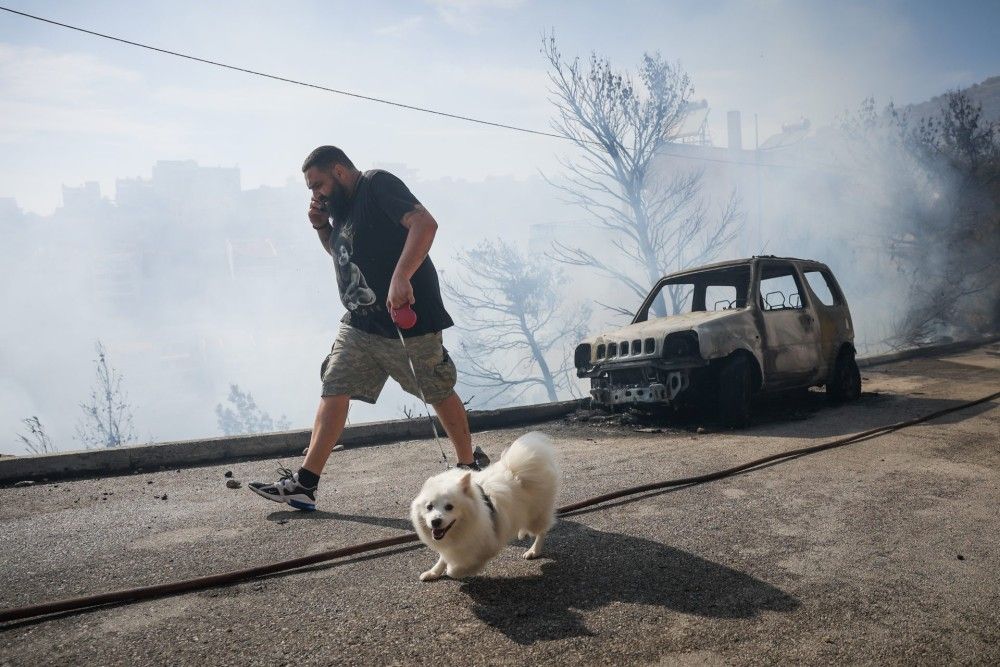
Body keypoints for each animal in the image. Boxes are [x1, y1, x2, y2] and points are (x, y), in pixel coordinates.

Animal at [410, 434, 560, 580]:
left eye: (449, 507)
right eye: (429, 507)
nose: (435, 522)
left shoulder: (486, 548)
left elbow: (455, 570)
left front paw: (458, 571)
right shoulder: (452, 545)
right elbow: (443, 559)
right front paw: (433, 572)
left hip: (536, 516)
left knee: (542, 531)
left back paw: (533, 551)